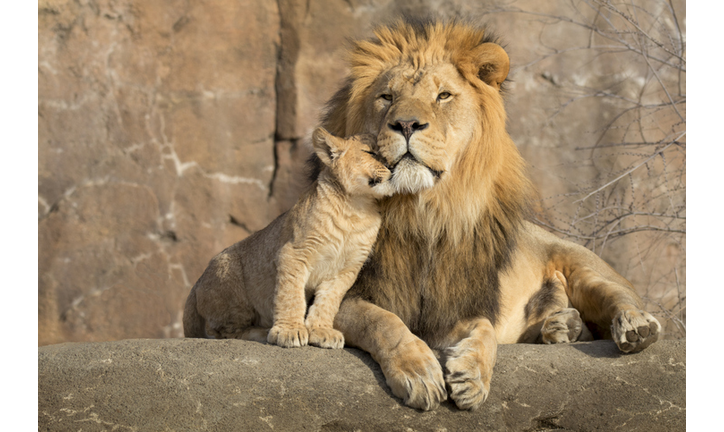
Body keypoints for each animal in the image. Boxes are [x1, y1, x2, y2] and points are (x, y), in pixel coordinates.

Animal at [183, 127, 393, 349]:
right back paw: (262, 332)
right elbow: (291, 295)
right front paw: (289, 331)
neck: (357, 208)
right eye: (371, 153)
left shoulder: (346, 270)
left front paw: (322, 331)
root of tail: (195, 285)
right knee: (222, 332)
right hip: (230, 281)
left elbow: (328, 301)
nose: (393, 167)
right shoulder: (294, 253)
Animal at [312, 18, 662, 411]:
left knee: (619, 298)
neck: (423, 212)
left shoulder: (456, 305)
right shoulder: (344, 296)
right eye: (386, 97)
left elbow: (484, 329)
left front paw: (472, 377)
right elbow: (383, 321)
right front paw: (420, 372)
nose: (406, 124)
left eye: (443, 96)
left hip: (584, 268)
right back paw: (561, 326)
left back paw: (634, 326)